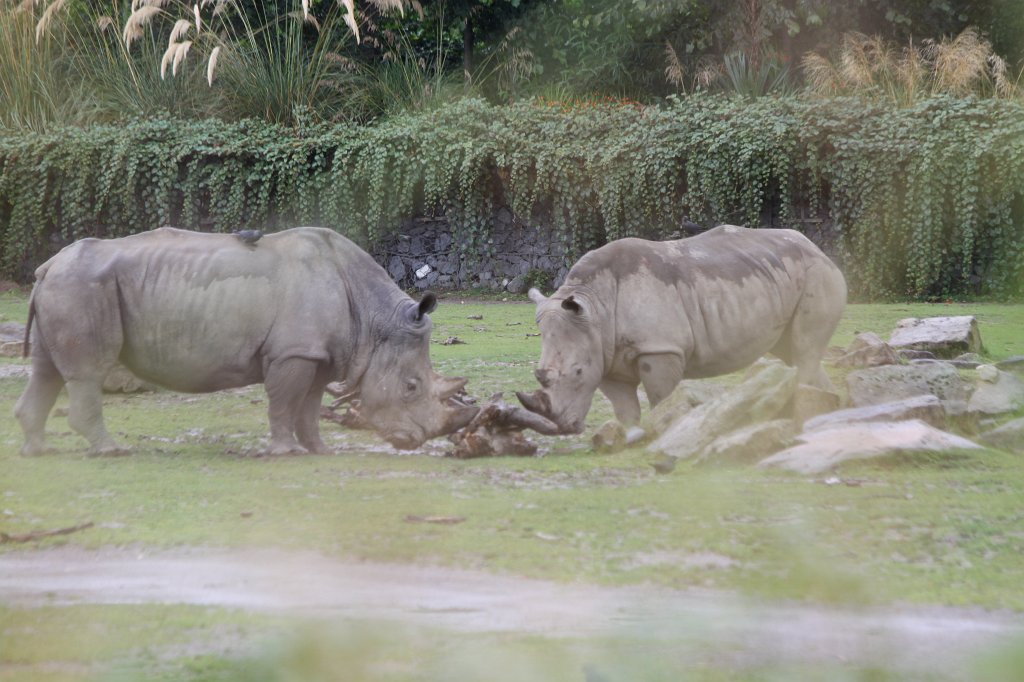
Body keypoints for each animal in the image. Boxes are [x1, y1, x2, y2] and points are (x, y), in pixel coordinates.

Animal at [14, 227, 477, 456]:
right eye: (411, 387)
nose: (416, 440)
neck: (375, 318)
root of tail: (47, 266)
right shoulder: (293, 352)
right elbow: (285, 402)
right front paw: (285, 453)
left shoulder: (317, 353)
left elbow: (309, 406)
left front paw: (320, 450)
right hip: (82, 286)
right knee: (86, 371)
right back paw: (110, 451)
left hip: (66, 285)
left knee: (46, 369)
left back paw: (39, 451)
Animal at [517, 225, 847, 434]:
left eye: (577, 373)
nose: (560, 429)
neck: (595, 306)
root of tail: (816, 248)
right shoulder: (604, 355)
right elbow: (625, 409)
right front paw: (630, 437)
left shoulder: (660, 348)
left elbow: (662, 399)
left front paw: (662, 429)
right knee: (794, 351)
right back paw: (828, 413)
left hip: (818, 273)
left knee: (804, 350)